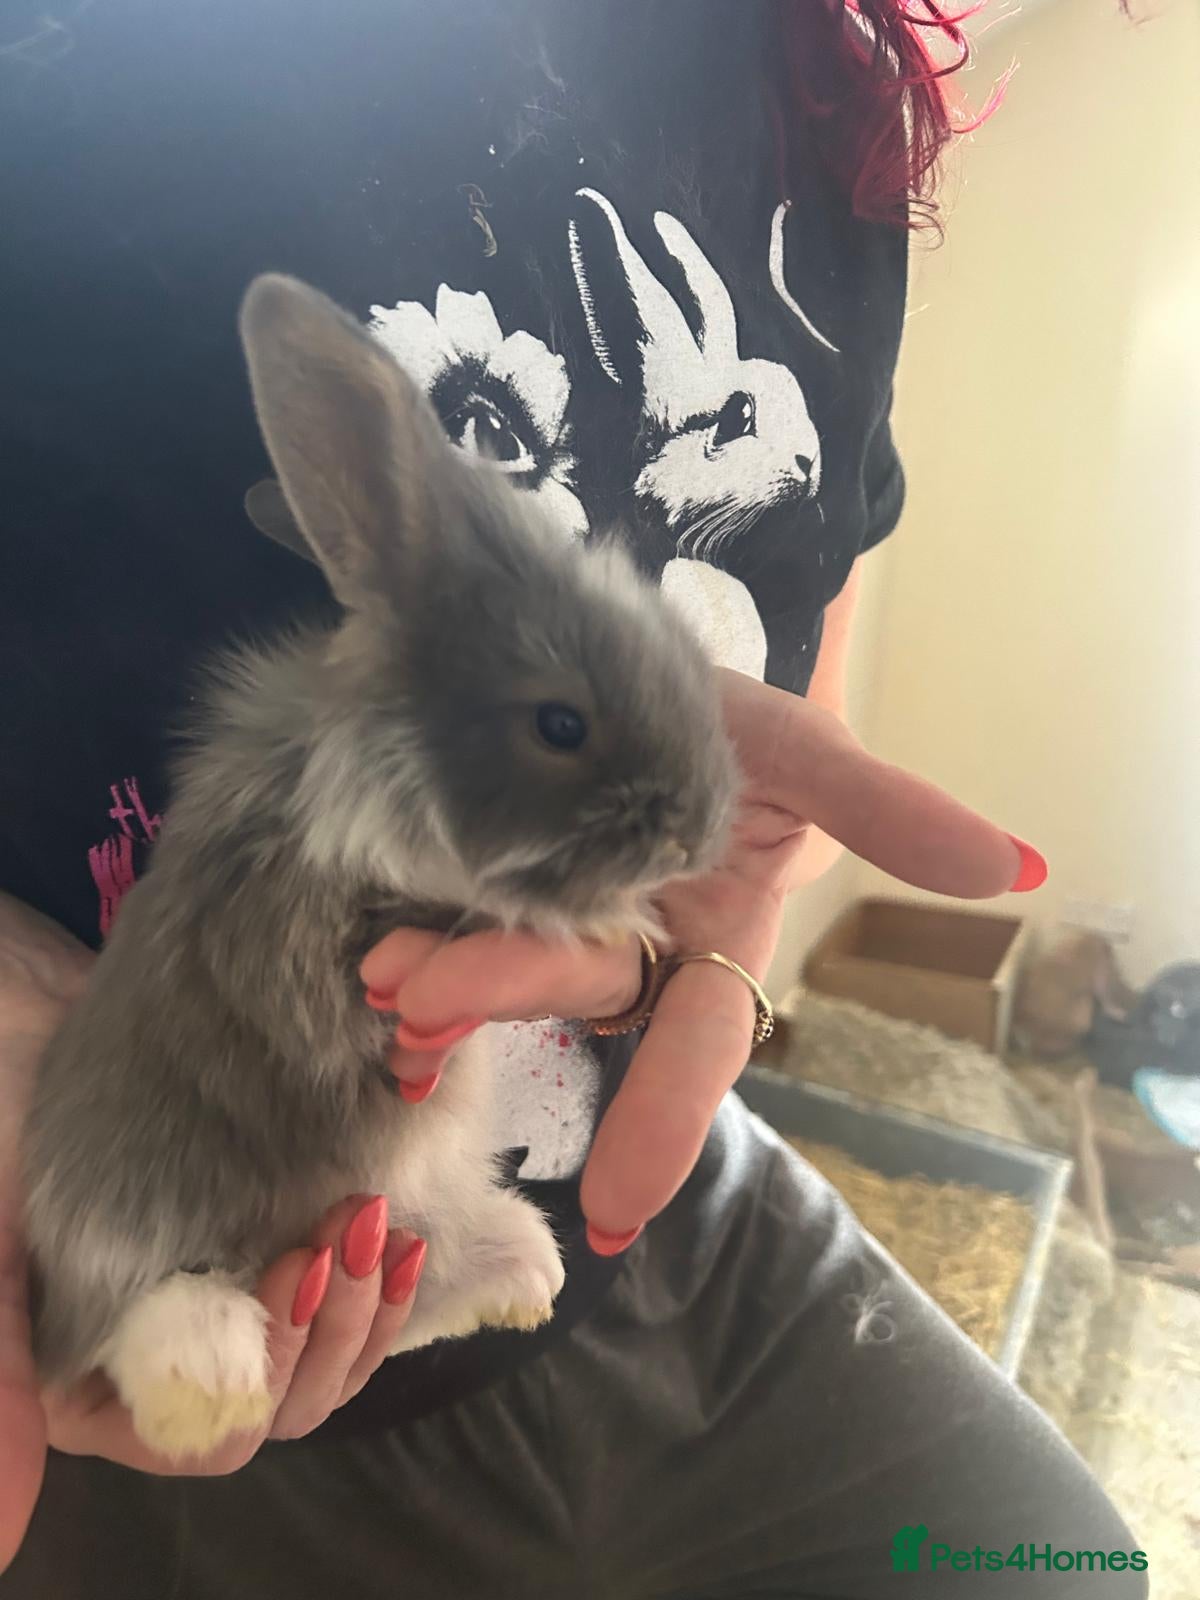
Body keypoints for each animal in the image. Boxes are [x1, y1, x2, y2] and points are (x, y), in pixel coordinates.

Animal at [21, 273, 738, 1461]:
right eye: (559, 723)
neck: (377, 765)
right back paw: (220, 1386)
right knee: (152, 1330)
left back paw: (522, 1281)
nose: (701, 831)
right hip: (146, 1228)